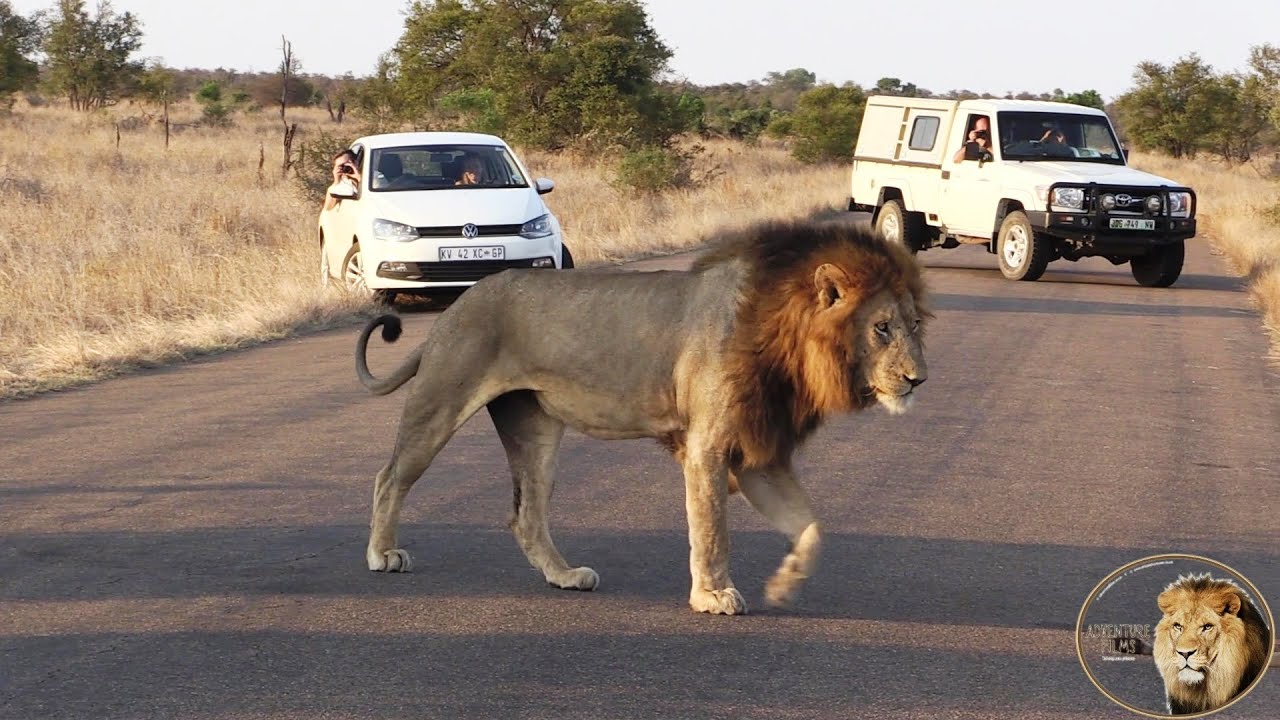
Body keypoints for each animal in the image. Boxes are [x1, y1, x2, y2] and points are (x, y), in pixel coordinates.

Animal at [352, 219, 929, 615]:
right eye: (881, 328)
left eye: (915, 325)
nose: (919, 379)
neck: (787, 346)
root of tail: (460, 302)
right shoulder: (708, 446)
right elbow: (712, 528)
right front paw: (714, 595)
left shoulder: (757, 453)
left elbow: (810, 526)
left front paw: (784, 583)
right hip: (441, 401)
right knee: (389, 477)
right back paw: (382, 553)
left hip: (535, 430)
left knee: (526, 515)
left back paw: (565, 576)